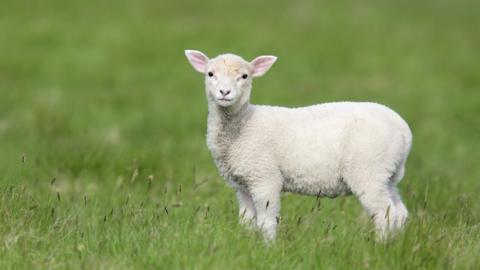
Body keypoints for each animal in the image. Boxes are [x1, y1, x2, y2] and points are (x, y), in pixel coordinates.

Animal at [184, 49, 412, 240]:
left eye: (245, 76)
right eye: (210, 74)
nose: (224, 92)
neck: (244, 124)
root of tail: (404, 131)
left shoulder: (265, 178)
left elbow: (266, 222)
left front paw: (268, 249)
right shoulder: (243, 184)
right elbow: (247, 221)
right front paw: (248, 243)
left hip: (369, 170)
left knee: (385, 214)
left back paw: (380, 246)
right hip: (388, 174)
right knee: (399, 212)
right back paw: (395, 245)